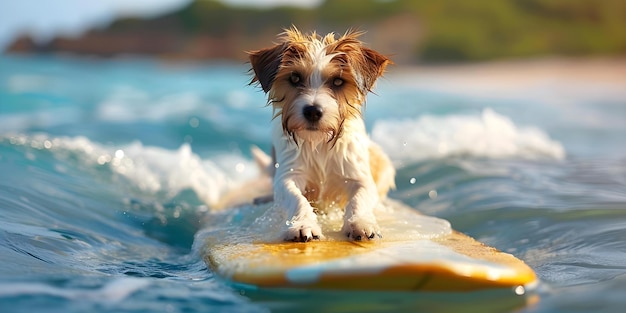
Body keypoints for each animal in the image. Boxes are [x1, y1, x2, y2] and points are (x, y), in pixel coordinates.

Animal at [246, 27, 392, 241]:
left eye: (338, 81)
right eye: (295, 78)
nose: (313, 111)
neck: (319, 143)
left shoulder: (359, 176)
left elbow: (359, 198)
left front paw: (360, 222)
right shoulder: (290, 174)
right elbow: (296, 198)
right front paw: (302, 224)